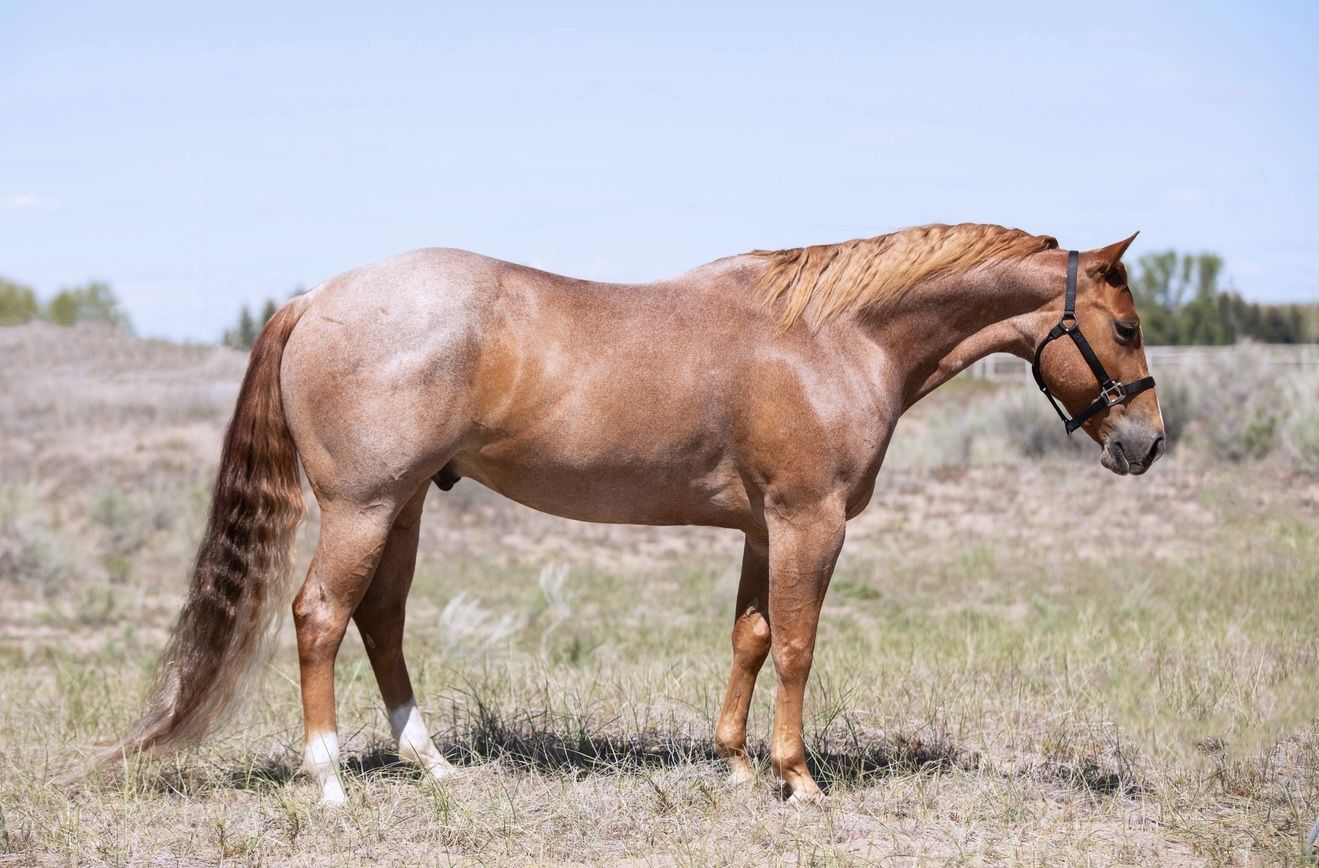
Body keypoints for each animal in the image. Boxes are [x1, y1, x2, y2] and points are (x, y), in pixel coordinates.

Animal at [109, 223, 1165, 804]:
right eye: (1121, 326)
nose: (1145, 443)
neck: (834, 338)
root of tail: (318, 295)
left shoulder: (761, 529)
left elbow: (748, 637)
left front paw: (735, 767)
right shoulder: (810, 523)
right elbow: (796, 645)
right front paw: (797, 778)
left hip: (401, 507)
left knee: (380, 621)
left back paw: (433, 766)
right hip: (362, 507)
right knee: (321, 618)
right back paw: (328, 780)